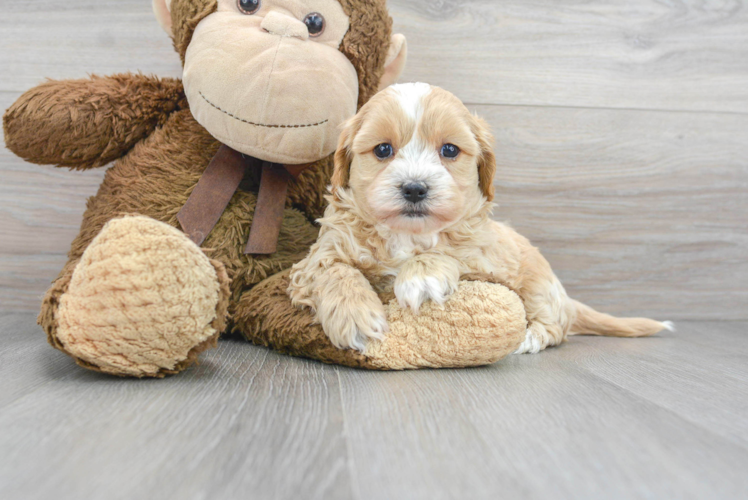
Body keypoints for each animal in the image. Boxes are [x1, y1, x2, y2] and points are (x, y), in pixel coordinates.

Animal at [288, 83, 672, 352]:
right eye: (383, 149)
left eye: (449, 150)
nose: (414, 188)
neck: (407, 235)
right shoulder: (318, 256)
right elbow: (334, 270)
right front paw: (355, 317)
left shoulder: (484, 257)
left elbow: (449, 251)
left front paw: (421, 277)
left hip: (539, 287)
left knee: (555, 327)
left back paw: (530, 337)